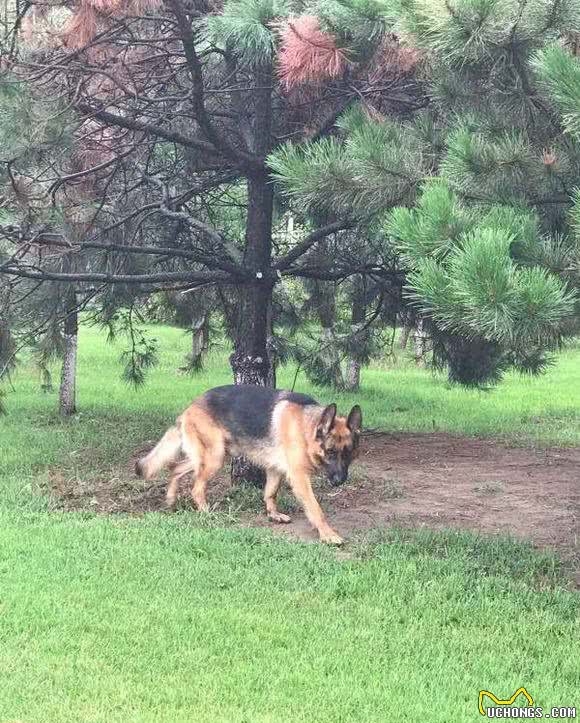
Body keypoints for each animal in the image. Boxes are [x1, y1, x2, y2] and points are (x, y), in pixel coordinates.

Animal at [136, 384, 362, 544]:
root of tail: (189, 407)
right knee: (196, 487)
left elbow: (270, 493)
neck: (306, 427)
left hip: (209, 457)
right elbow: (316, 509)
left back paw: (170, 500)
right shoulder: (299, 477)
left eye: (349, 453)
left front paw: (273, 515)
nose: (340, 481)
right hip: (215, 459)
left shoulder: (275, 469)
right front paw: (328, 534)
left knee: (175, 468)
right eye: (331, 452)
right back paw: (206, 511)